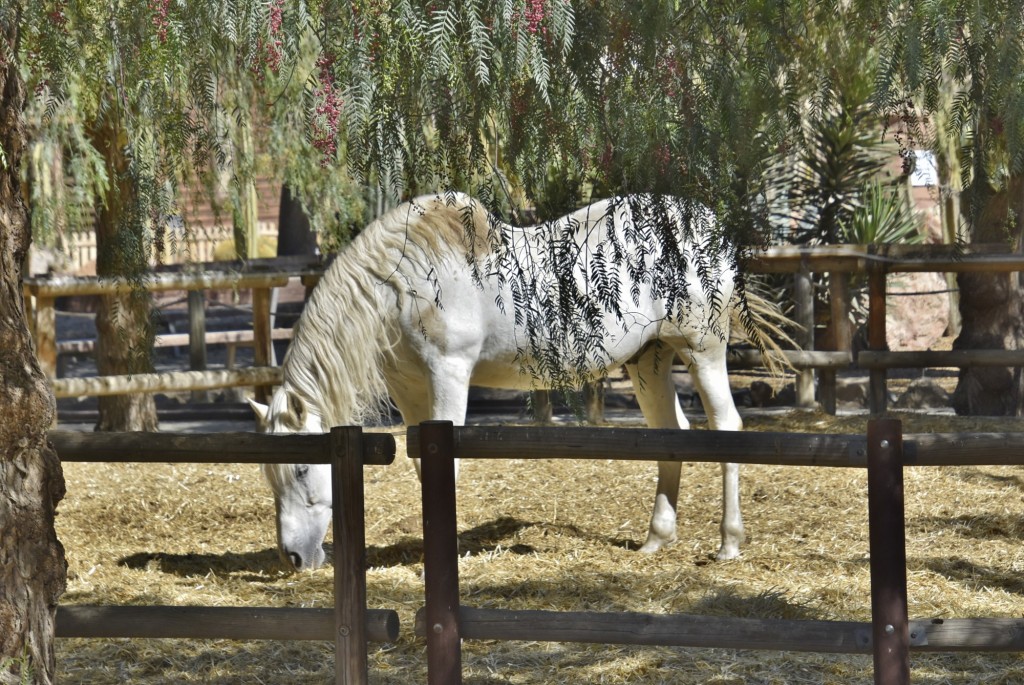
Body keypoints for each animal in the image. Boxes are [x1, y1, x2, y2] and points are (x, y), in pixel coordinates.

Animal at [253, 189, 770, 569]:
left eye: (302, 470)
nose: (293, 557)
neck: (402, 284)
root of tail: (709, 225)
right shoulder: (409, 390)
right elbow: (423, 468)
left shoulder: (449, 373)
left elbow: (447, 465)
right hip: (649, 360)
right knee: (671, 435)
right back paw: (656, 539)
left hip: (702, 349)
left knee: (726, 428)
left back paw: (729, 543)